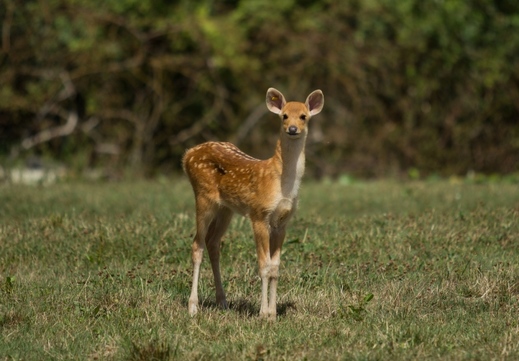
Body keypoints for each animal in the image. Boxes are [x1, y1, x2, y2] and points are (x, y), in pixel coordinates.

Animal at [181, 87, 322, 318]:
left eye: (304, 116)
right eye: (284, 116)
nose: (292, 129)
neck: (280, 182)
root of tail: (187, 155)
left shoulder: (282, 222)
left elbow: (275, 267)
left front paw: (273, 314)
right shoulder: (259, 214)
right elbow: (264, 265)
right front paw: (263, 313)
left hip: (225, 209)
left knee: (213, 242)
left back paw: (222, 301)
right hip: (203, 197)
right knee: (197, 245)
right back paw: (193, 306)